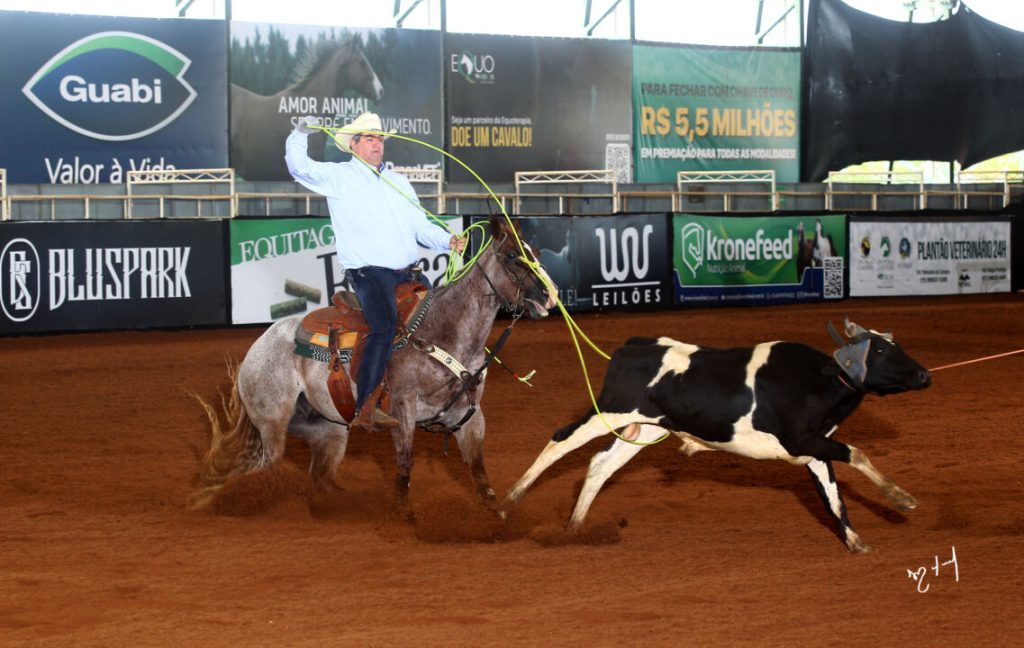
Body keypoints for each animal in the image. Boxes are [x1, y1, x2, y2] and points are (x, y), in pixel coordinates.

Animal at [192, 217, 561, 509]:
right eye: (513, 256)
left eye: (536, 252)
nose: (550, 295)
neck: (442, 331)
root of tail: (256, 348)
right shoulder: (403, 409)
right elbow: (405, 464)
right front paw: (402, 516)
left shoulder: (469, 415)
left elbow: (480, 474)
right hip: (272, 424)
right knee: (267, 470)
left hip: (328, 430)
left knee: (320, 478)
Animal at [499, 319, 933, 552]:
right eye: (879, 351)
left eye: (894, 345)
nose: (923, 374)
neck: (816, 381)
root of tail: (632, 346)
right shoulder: (801, 441)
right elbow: (858, 454)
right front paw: (902, 497)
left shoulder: (815, 450)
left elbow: (833, 497)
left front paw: (856, 541)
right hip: (607, 410)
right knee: (560, 441)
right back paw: (507, 503)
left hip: (646, 428)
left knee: (600, 466)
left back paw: (575, 527)